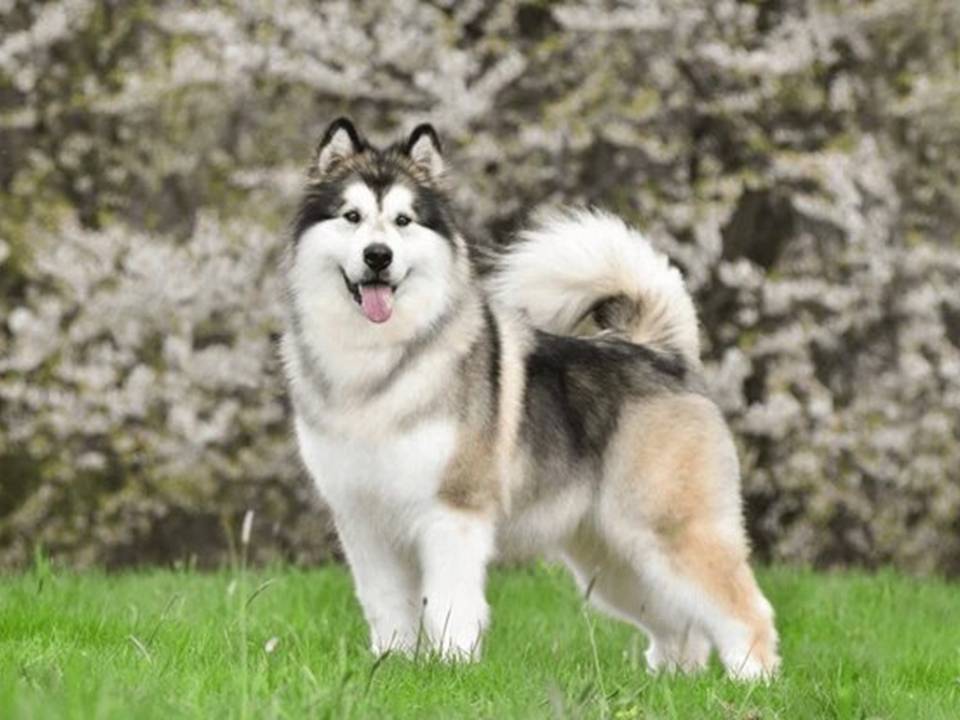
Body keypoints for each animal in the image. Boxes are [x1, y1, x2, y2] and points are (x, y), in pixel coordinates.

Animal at [280, 118, 780, 680]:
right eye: (352, 216)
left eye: (404, 220)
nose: (378, 256)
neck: (377, 363)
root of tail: (660, 353)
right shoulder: (363, 520)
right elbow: (387, 607)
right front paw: (390, 668)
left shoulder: (453, 513)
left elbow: (449, 605)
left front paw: (452, 669)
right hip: (615, 554)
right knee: (682, 624)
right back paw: (672, 682)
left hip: (671, 530)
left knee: (746, 611)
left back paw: (753, 682)